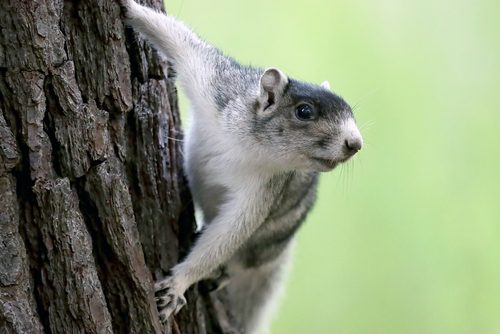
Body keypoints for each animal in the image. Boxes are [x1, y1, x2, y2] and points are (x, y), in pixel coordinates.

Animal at [121, 1, 364, 332]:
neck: (247, 143)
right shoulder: (214, 85)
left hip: (269, 239)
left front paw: (179, 283)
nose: (355, 142)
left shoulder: (264, 189)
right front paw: (129, 9)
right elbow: (177, 38)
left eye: (351, 110)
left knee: (241, 259)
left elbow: (230, 232)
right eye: (304, 111)